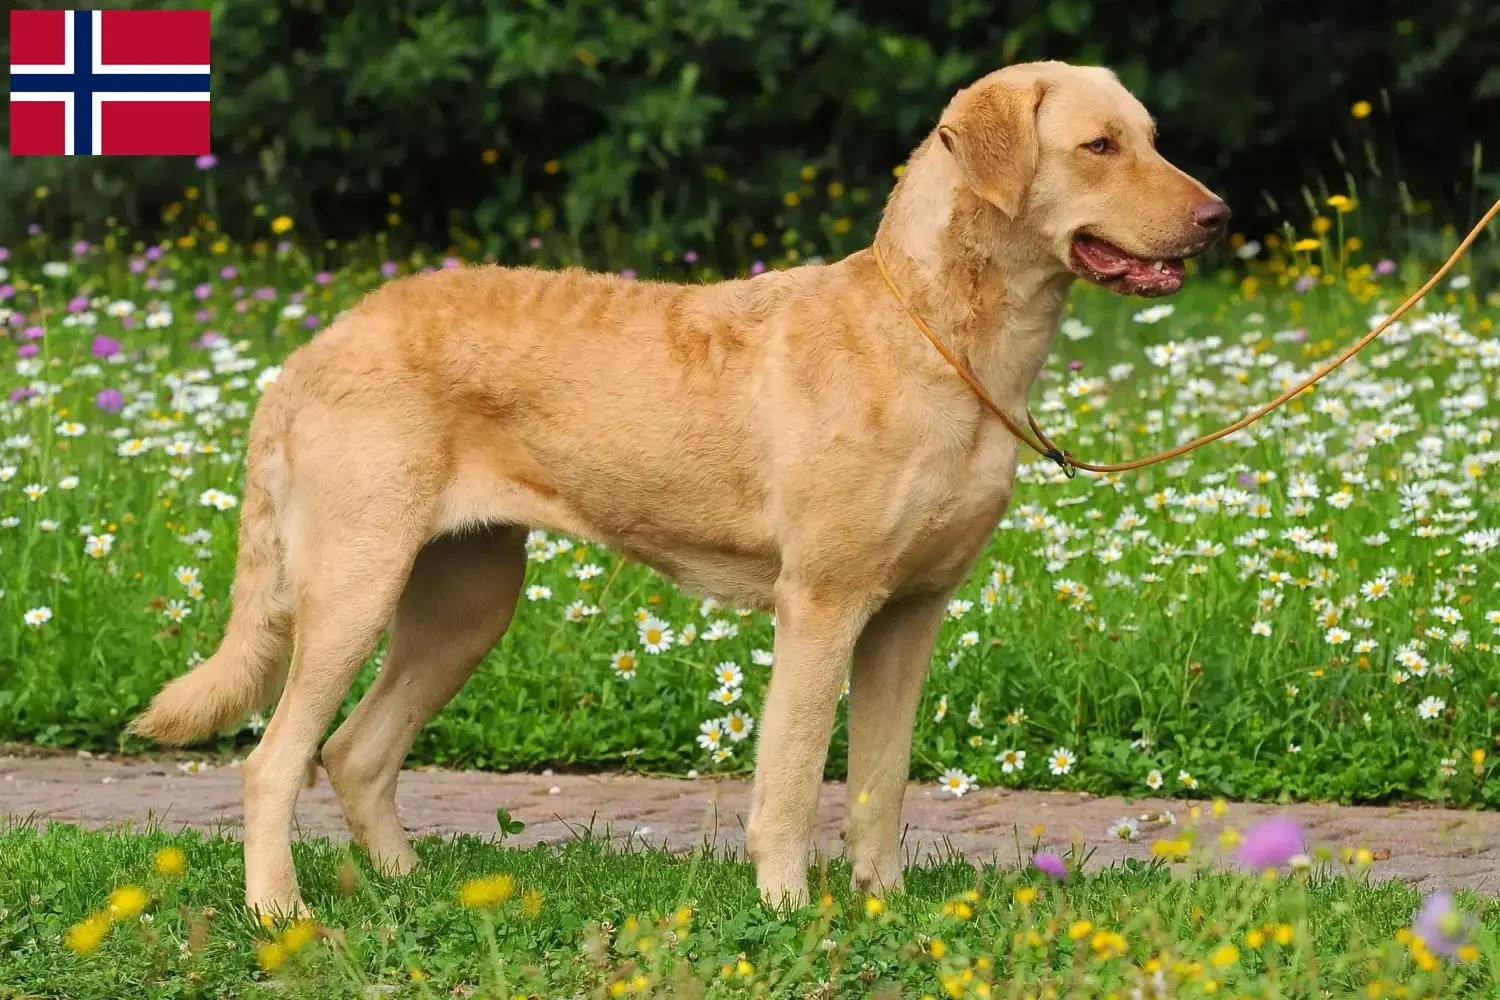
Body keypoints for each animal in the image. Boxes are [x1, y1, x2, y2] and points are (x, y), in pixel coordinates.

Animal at [135, 60, 1224, 917]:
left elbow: (880, 781)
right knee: (274, 760)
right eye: (1098, 145)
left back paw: (416, 891)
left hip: (467, 598)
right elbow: (792, 779)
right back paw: (282, 915)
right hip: (354, 584)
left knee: (356, 751)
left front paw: (884, 905)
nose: (1219, 217)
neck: (943, 336)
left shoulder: (910, 614)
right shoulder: (822, 603)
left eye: (1152, 138)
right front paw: (789, 911)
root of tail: (310, 350)